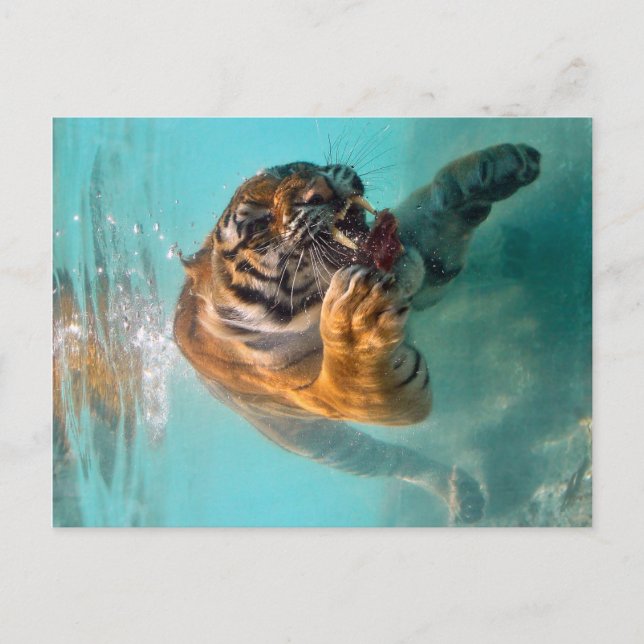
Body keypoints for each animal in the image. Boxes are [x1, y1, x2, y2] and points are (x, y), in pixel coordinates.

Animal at [173, 143, 541, 523]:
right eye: (258, 224)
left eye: (291, 170)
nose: (319, 188)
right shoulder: (341, 399)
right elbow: (351, 376)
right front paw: (356, 319)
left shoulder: (423, 264)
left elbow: (434, 206)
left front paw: (496, 166)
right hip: (322, 442)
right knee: (395, 460)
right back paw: (462, 495)